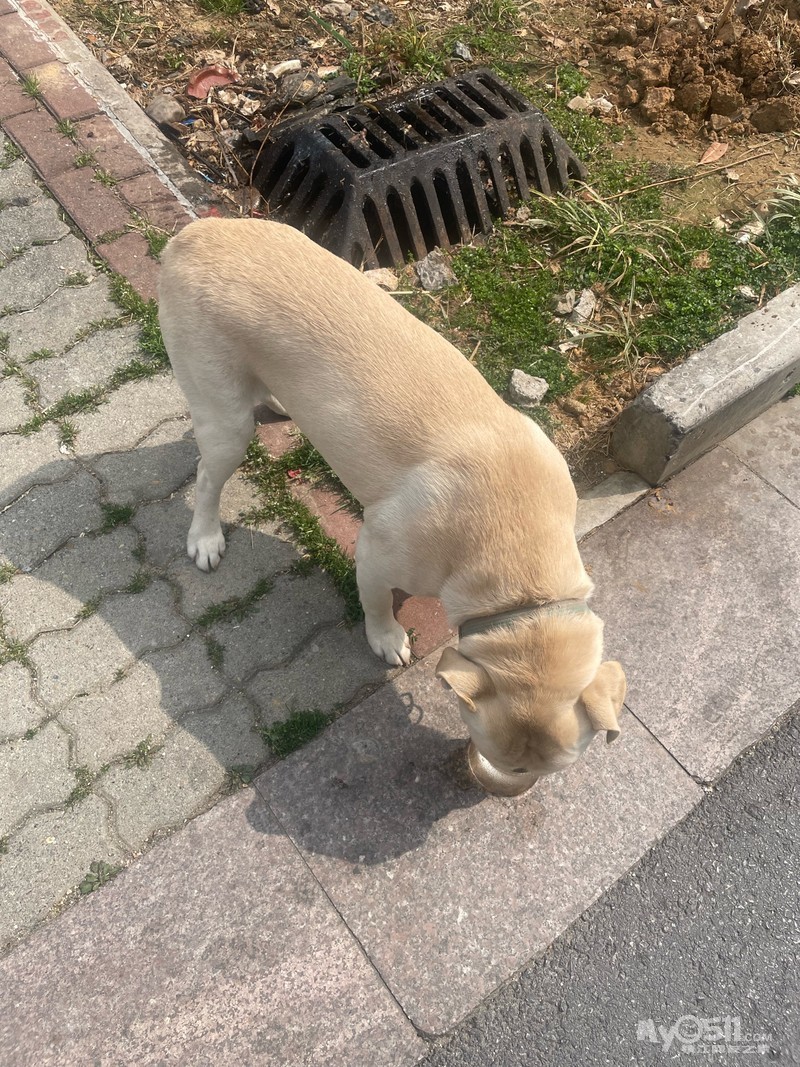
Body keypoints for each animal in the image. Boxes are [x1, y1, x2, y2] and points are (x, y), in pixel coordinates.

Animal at [158, 218, 626, 785]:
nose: (509, 784)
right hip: (224, 422)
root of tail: (192, 232)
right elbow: (377, 603)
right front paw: (386, 638)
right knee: (207, 476)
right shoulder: (376, 553)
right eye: (501, 758)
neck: (523, 570)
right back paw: (205, 538)